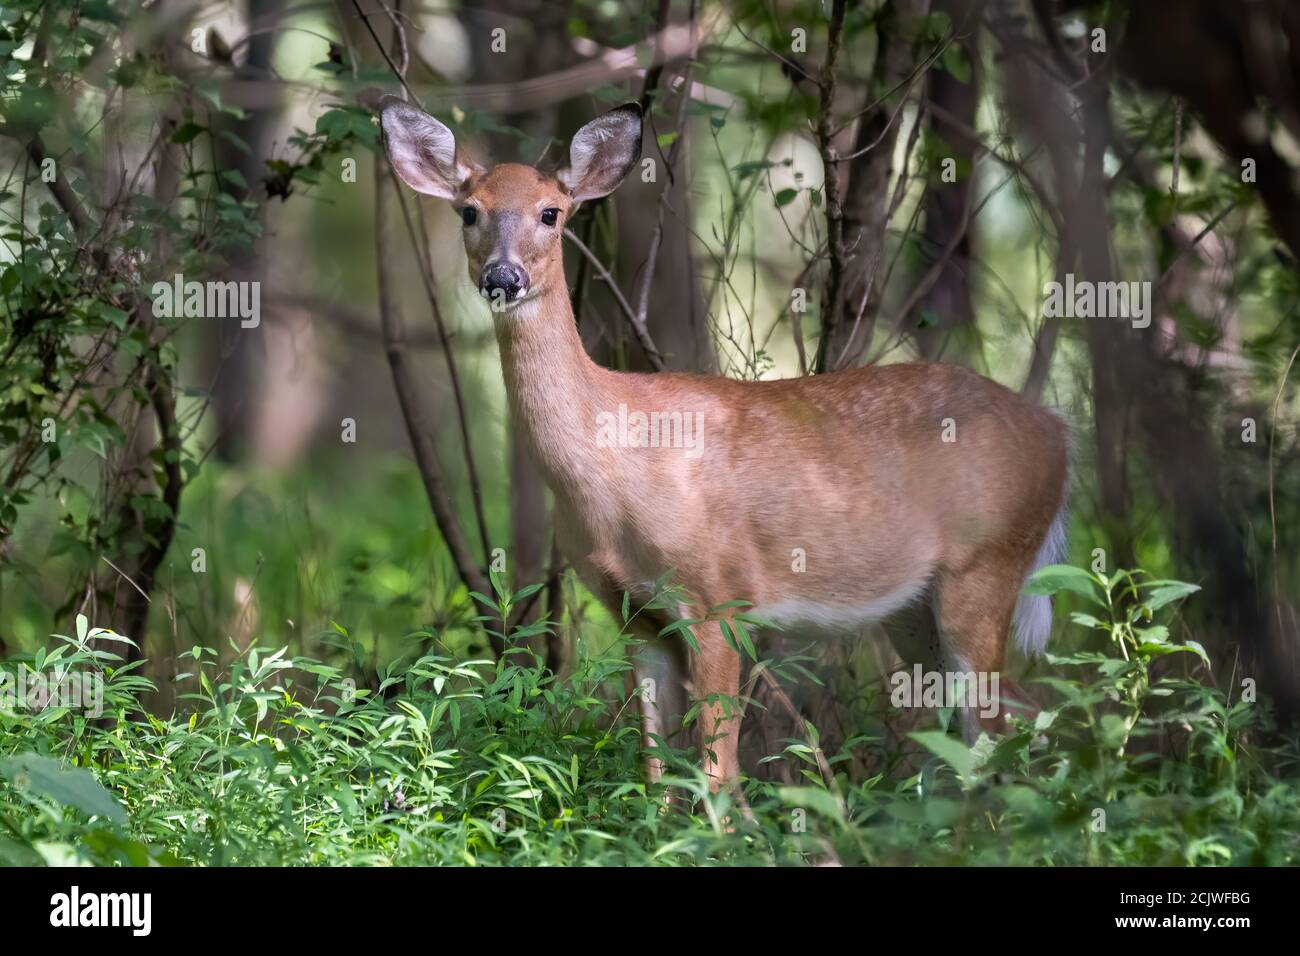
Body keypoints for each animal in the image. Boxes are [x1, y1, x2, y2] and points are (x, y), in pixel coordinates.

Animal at [379, 97, 1071, 790]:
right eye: (470, 210)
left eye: (552, 212)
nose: (503, 276)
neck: (613, 469)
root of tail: (1056, 433)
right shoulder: (633, 613)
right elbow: (657, 769)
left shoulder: (718, 596)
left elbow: (717, 771)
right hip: (914, 608)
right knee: (1002, 718)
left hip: (986, 562)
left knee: (999, 727)